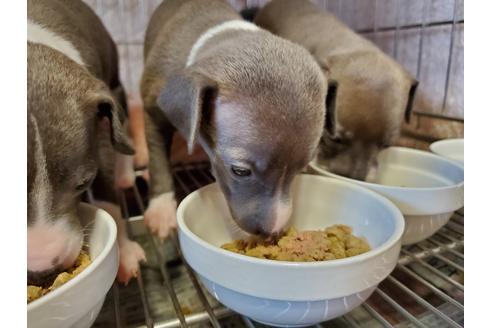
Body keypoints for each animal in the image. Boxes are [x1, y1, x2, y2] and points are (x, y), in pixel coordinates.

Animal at [27, 0, 144, 288]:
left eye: (84, 183)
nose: (41, 270)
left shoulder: (98, 132)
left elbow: (108, 199)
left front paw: (123, 254)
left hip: (113, 84)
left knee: (122, 128)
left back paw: (125, 173)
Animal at [140, 0, 336, 237]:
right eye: (240, 171)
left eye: (302, 168)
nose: (271, 231)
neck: (219, 33)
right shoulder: (152, 108)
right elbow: (158, 159)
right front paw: (161, 209)